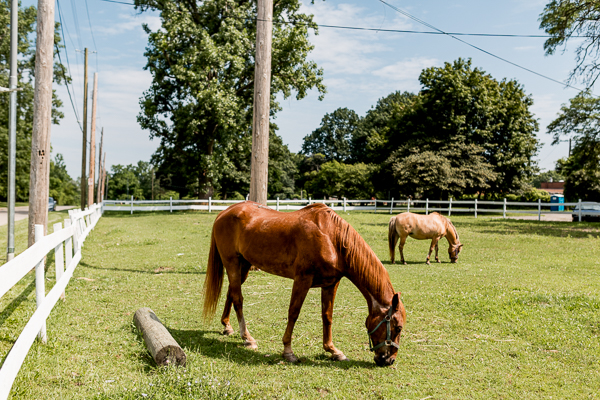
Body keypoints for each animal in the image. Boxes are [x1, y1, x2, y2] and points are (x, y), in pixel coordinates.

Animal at [204, 202, 406, 368]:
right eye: (398, 328)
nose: (389, 360)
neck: (332, 237)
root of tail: (224, 212)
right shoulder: (303, 279)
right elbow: (293, 312)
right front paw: (288, 351)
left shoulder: (331, 284)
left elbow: (327, 317)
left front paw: (333, 350)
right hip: (232, 264)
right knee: (238, 298)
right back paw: (247, 338)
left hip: (244, 266)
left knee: (231, 293)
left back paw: (227, 327)